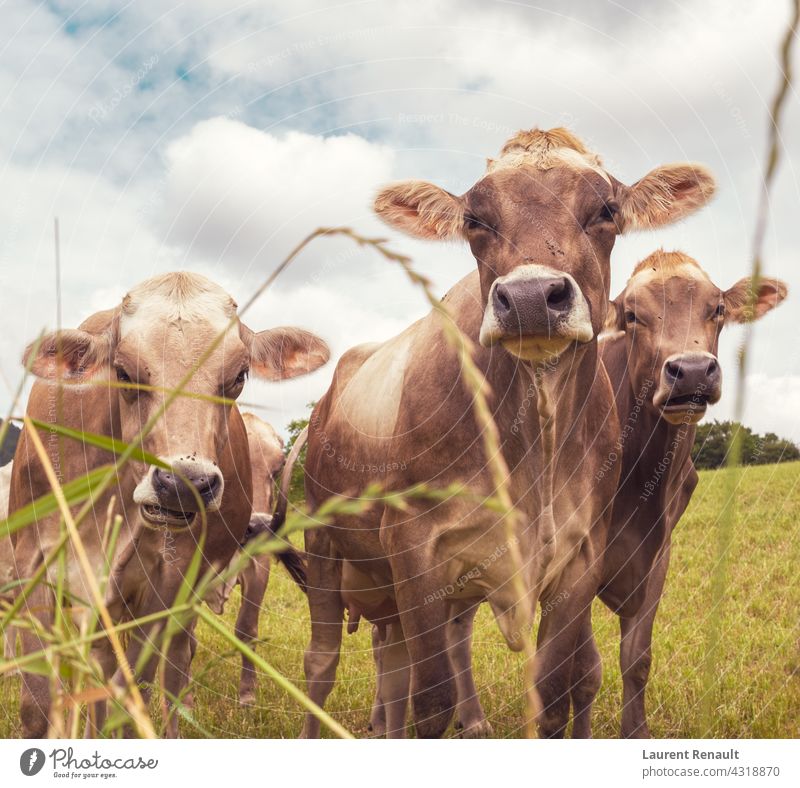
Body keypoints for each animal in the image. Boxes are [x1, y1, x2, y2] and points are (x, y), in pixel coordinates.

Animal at [9, 272, 328, 740]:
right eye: (123, 371)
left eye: (239, 376)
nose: (183, 484)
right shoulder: (34, 564)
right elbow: (38, 706)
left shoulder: (168, 584)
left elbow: (132, 693)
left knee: (180, 660)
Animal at [304, 124, 716, 740]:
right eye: (475, 218)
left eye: (606, 210)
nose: (528, 299)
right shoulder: (416, 551)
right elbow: (433, 701)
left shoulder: (579, 559)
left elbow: (554, 694)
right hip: (323, 543)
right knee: (324, 663)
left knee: (392, 662)